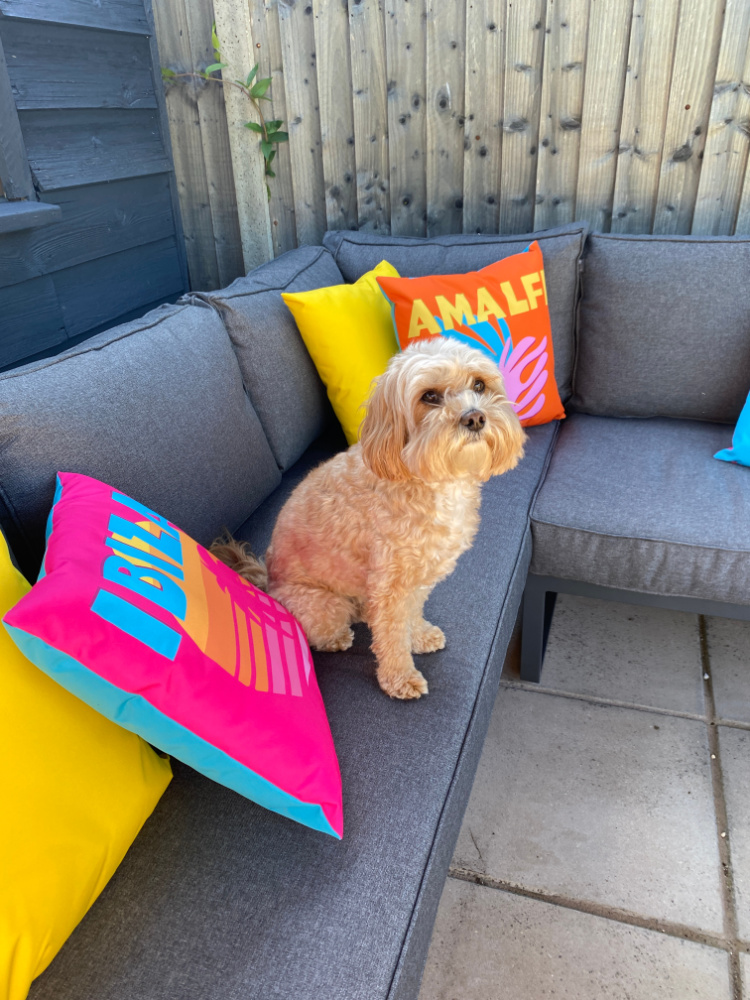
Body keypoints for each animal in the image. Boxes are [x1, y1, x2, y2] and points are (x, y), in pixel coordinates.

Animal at [214, 340, 524, 700]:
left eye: (479, 385)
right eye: (430, 396)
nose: (474, 417)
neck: (429, 480)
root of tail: (265, 580)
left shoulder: (418, 575)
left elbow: (411, 613)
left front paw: (420, 636)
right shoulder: (391, 582)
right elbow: (391, 636)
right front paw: (400, 678)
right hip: (325, 605)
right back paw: (339, 637)